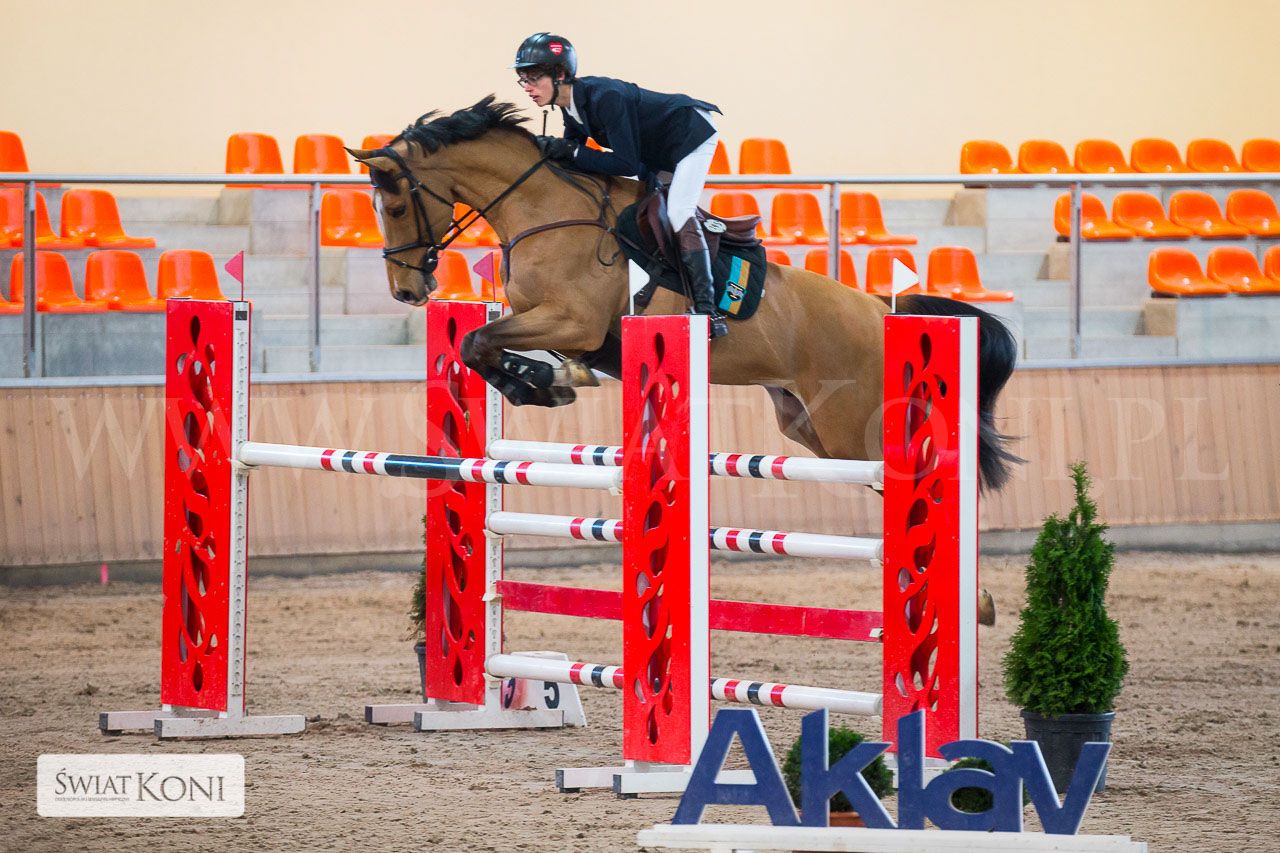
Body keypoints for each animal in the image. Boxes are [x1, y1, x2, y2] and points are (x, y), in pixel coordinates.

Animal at [347, 96, 1020, 491]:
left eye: (397, 204)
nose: (407, 289)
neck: (543, 209)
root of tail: (880, 307)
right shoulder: (547, 320)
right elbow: (482, 344)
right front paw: (547, 381)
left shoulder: (574, 321)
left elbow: (481, 341)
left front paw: (540, 384)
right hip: (808, 426)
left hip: (853, 426)